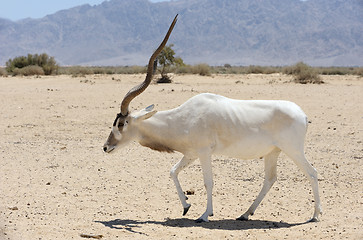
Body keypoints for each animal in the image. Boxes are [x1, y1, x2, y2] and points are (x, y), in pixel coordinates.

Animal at [102, 14, 322, 222]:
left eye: (121, 123)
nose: (105, 147)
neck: (182, 118)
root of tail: (302, 114)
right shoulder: (191, 153)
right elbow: (173, 171)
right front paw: (186, 205)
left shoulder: (204, 152)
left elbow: (208, 181)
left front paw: (205, 214)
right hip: (273, 152)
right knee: (270, 179)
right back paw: (245, 214)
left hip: (293, 150)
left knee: (312, 173)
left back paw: (315, 215)